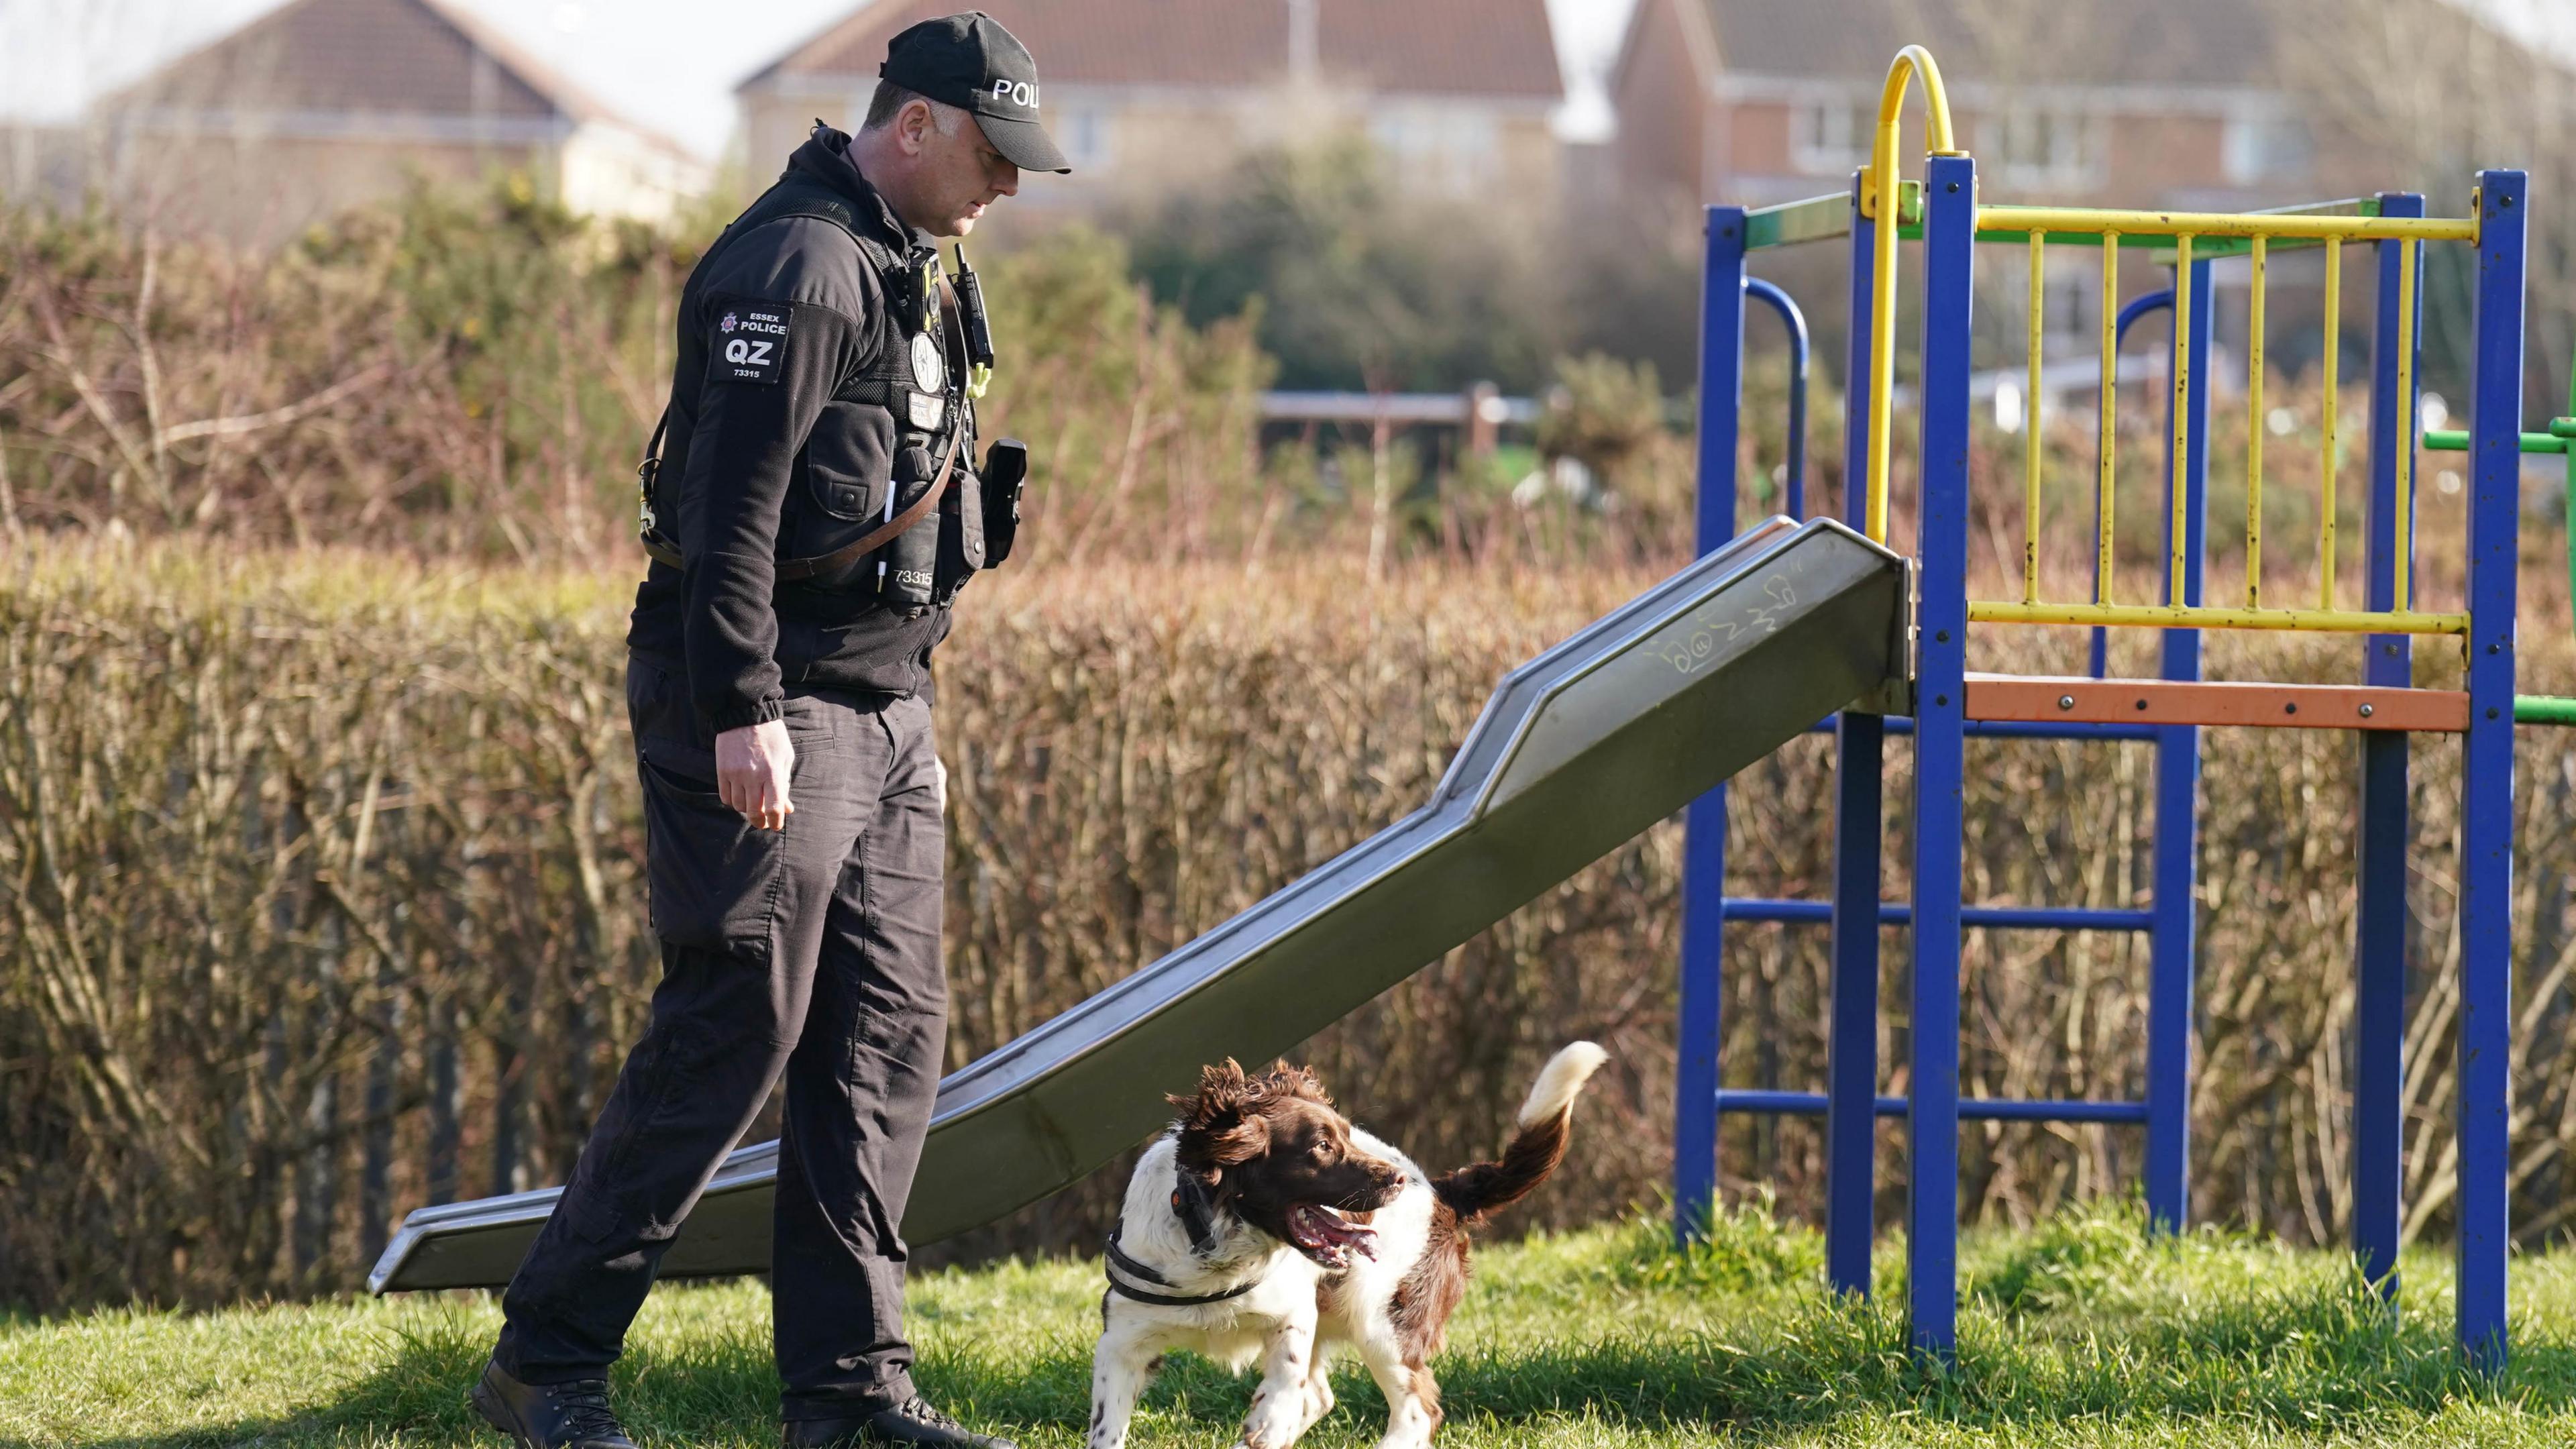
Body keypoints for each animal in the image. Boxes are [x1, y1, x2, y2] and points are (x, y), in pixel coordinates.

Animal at [1087, 1036, 1607, 1444]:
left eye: (1348, 1137)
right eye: (1321, 1146)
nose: (1396, 1181)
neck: (1216, 1249)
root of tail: (1440, 1191)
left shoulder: (1294, 1312)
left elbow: (1285, 1382)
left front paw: (1266, 1419)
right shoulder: (1122, 1340)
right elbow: (1106, 1427)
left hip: (1383, 1320)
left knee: (1417, 1411)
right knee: (1322, 1398)